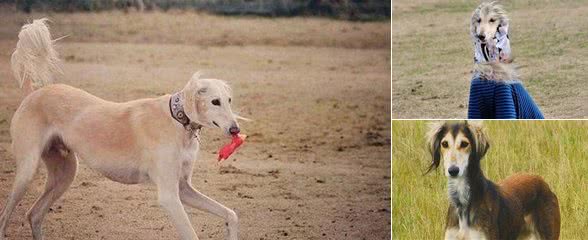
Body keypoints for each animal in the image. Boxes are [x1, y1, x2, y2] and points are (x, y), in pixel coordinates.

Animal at [0, 18, 243, 240]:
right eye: (215, 102)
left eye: (229, 100)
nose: (235, 130)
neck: (177, 119)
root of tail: (35, 93)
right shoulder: (169, 196)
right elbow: (191, 233)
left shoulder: (183, 189)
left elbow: (231, 214)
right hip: (27, 171)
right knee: (5, 216)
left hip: (65, 173)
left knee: (34, 214)